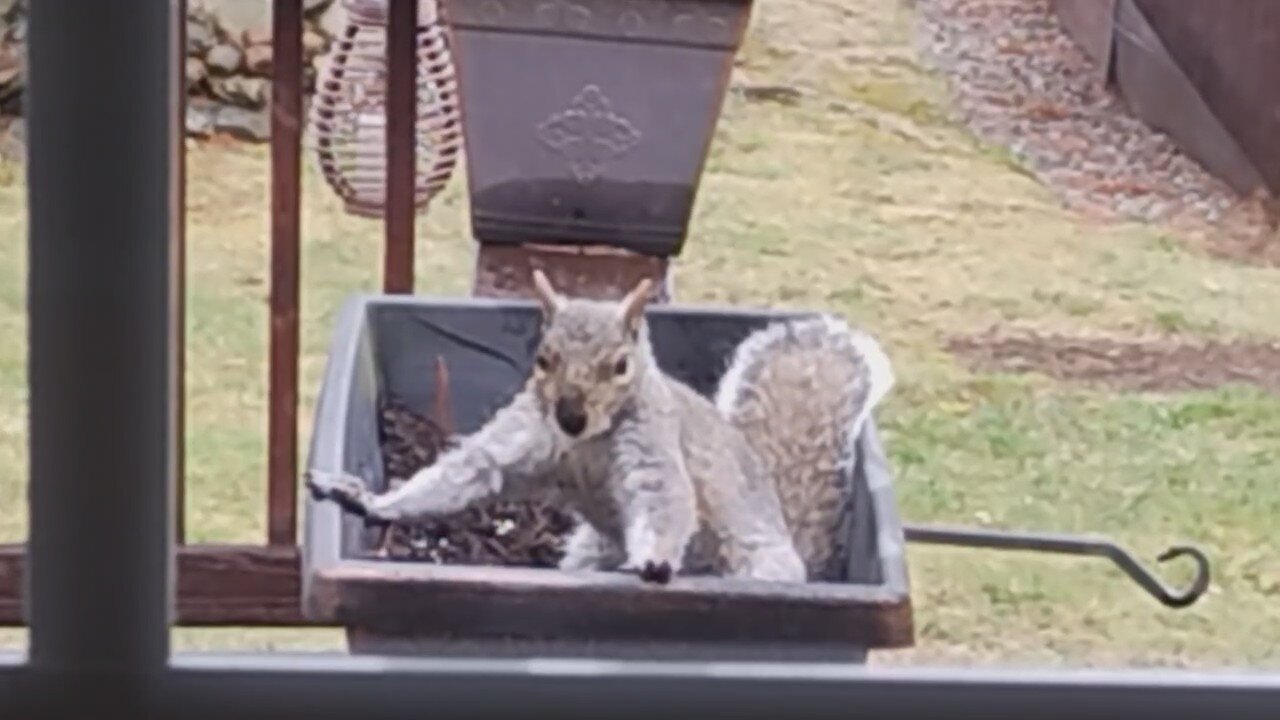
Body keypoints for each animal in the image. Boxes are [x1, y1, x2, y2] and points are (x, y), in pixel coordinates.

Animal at [307, 270, 894, 585]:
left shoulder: (656, 451)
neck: (585, 443)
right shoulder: (522, 437)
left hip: (751, 560)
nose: (570, 414)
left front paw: (654, 561)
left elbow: (664, 500)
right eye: (543, 358)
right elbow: (467, 473)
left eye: (620, 365)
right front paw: (367, 499)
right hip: (591, 550)